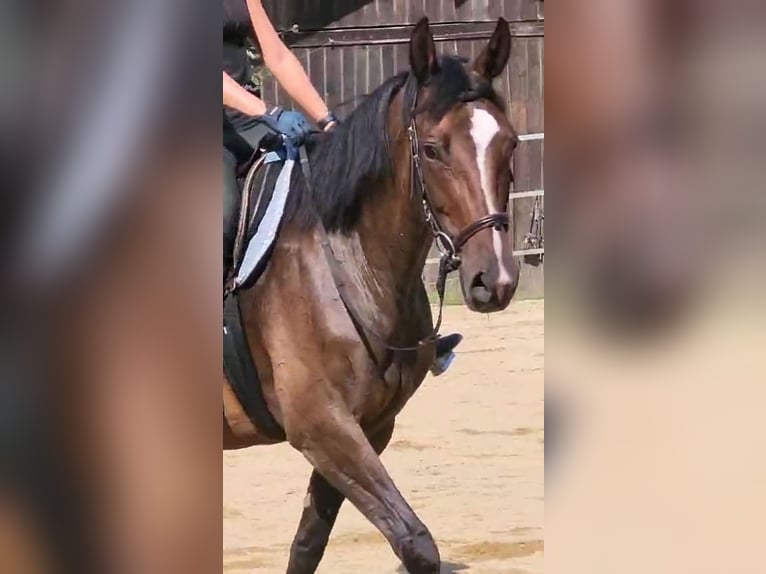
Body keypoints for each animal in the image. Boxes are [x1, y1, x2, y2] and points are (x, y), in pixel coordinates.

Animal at [222, 18, 520, 574]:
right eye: (432, 149)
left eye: (509, 145)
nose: (495, 281)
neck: (344, 260)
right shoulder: (321, 425)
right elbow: (415, 542)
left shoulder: (370, 426)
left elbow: (308, 543)